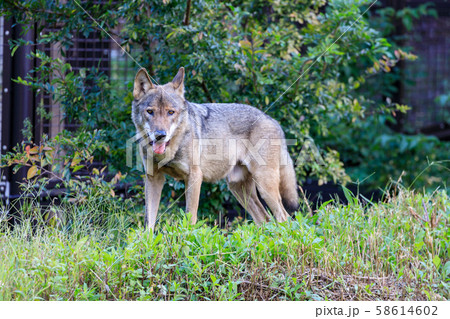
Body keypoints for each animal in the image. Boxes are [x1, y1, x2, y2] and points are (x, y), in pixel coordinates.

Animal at [131, 67, 298, 230]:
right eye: (150, 111)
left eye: (170, 112)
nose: (160, 135)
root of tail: (273, 121)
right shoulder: (154, 178)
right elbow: (149, 223)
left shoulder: (194, 177)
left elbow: (190, 219)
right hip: (238, 188)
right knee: (265, 219)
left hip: (264, 186)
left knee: (284, 218)